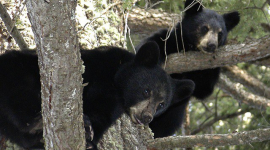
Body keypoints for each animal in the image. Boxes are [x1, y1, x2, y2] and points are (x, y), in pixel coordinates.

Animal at [0, 41, 194, 149]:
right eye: (146, 91)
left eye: (161, 104)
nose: (147, 117)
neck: (116, 78)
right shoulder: (101, 75)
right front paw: (87, 129)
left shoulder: (113, 105)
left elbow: (101, 116)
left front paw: (90, 140)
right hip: (17, 73)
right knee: (23, 99)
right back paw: (36, 122)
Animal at [136, 0, 239, 138]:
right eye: (205, 28)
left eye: (220, 33)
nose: (211, 45)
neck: (191, 46)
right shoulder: (171, 38)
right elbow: (149, 45)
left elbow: (204, 88)